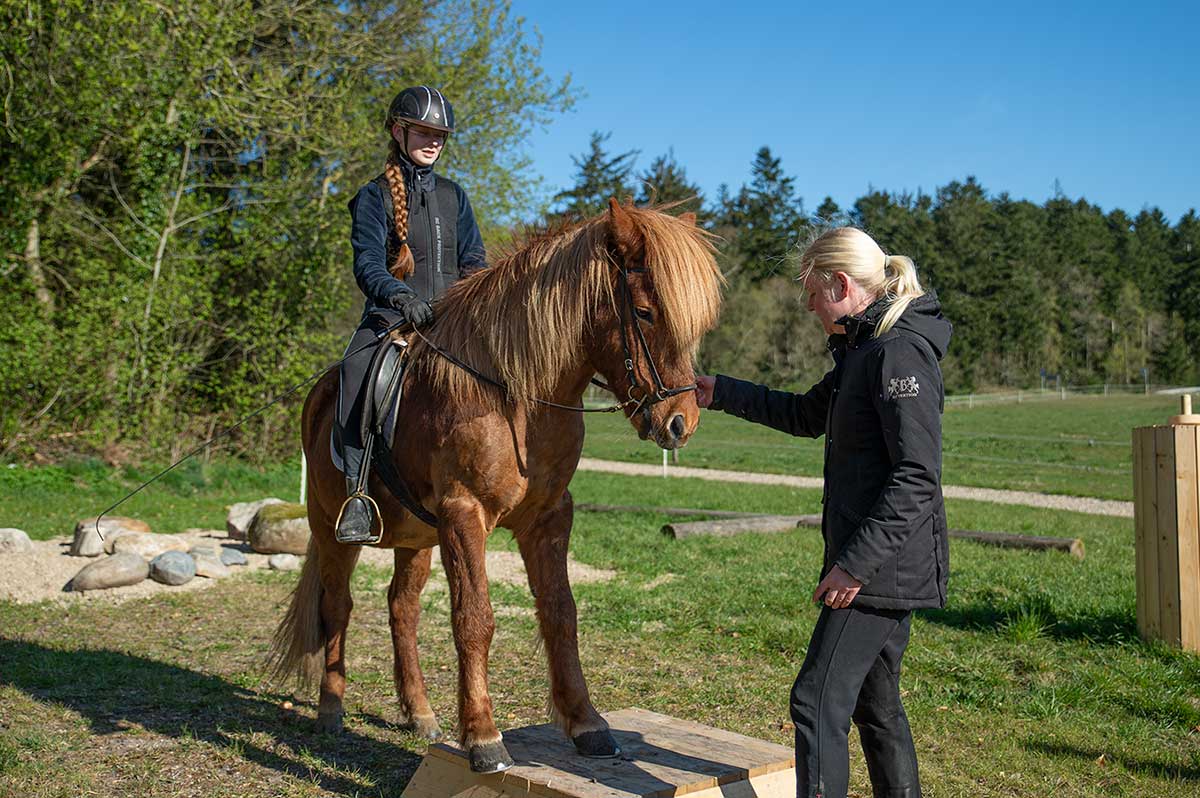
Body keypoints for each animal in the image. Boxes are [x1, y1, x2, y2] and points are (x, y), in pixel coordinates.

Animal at [267, 199, 720, 772]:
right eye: (643, 313)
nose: (681, 423)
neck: (516, 396)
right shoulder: (465, 516)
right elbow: (474, 619)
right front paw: (484, 738)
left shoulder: (548, 519)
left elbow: (561, 614)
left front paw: (587, 724)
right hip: (332, 527)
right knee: (337, 607)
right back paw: (331, 709)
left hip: (415, 537)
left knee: (402, 608)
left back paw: (419, 712)